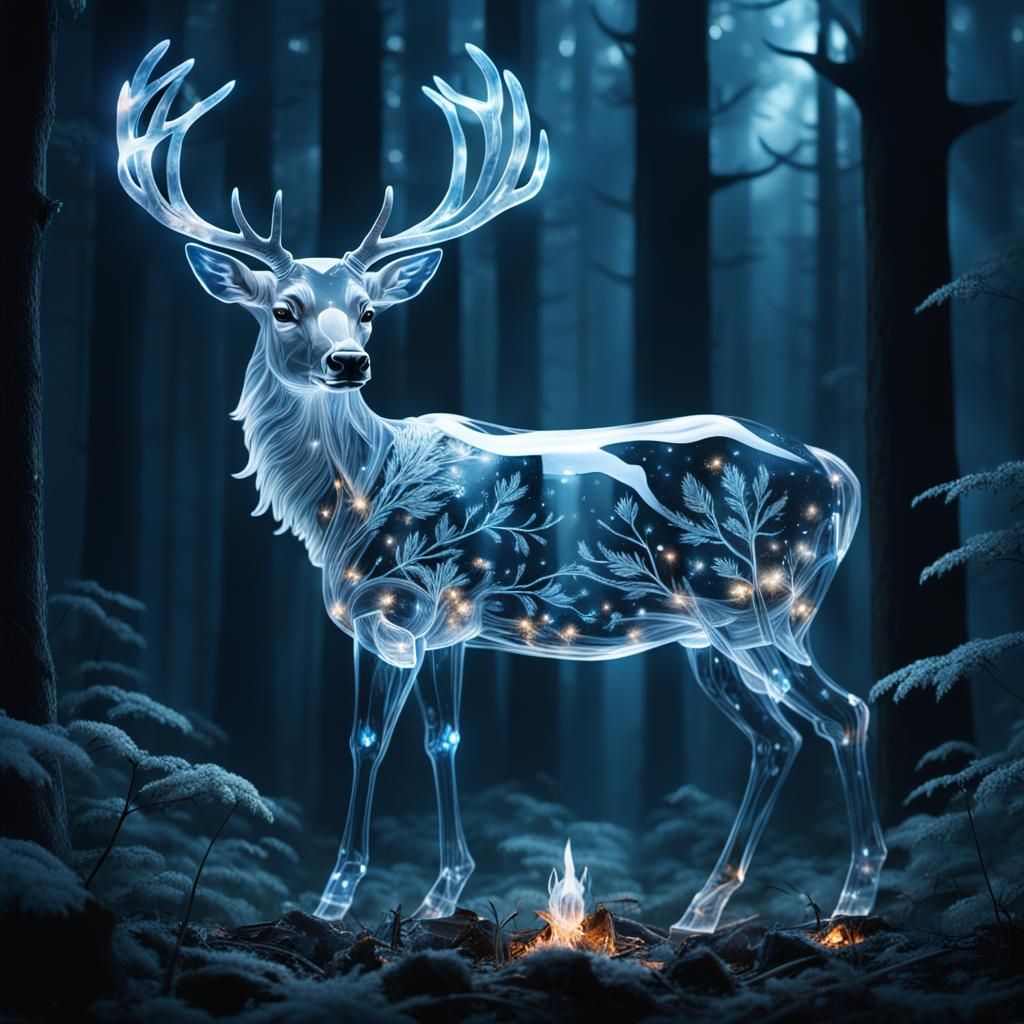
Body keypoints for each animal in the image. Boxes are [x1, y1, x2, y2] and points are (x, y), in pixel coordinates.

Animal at [116, 41, 886, 937]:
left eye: (369, 310)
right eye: (283, 308)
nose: (350, 361)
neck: (353, 498)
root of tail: (838, 473)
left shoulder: (408, 605)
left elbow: (385, 741)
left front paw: (357, 895)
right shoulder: (427, 627)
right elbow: (422, 740)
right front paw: (419, 891)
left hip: (753, 603)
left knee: (843, 712)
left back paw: (853, 895)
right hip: (716, 635)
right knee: (777, 736)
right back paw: (704, 906)